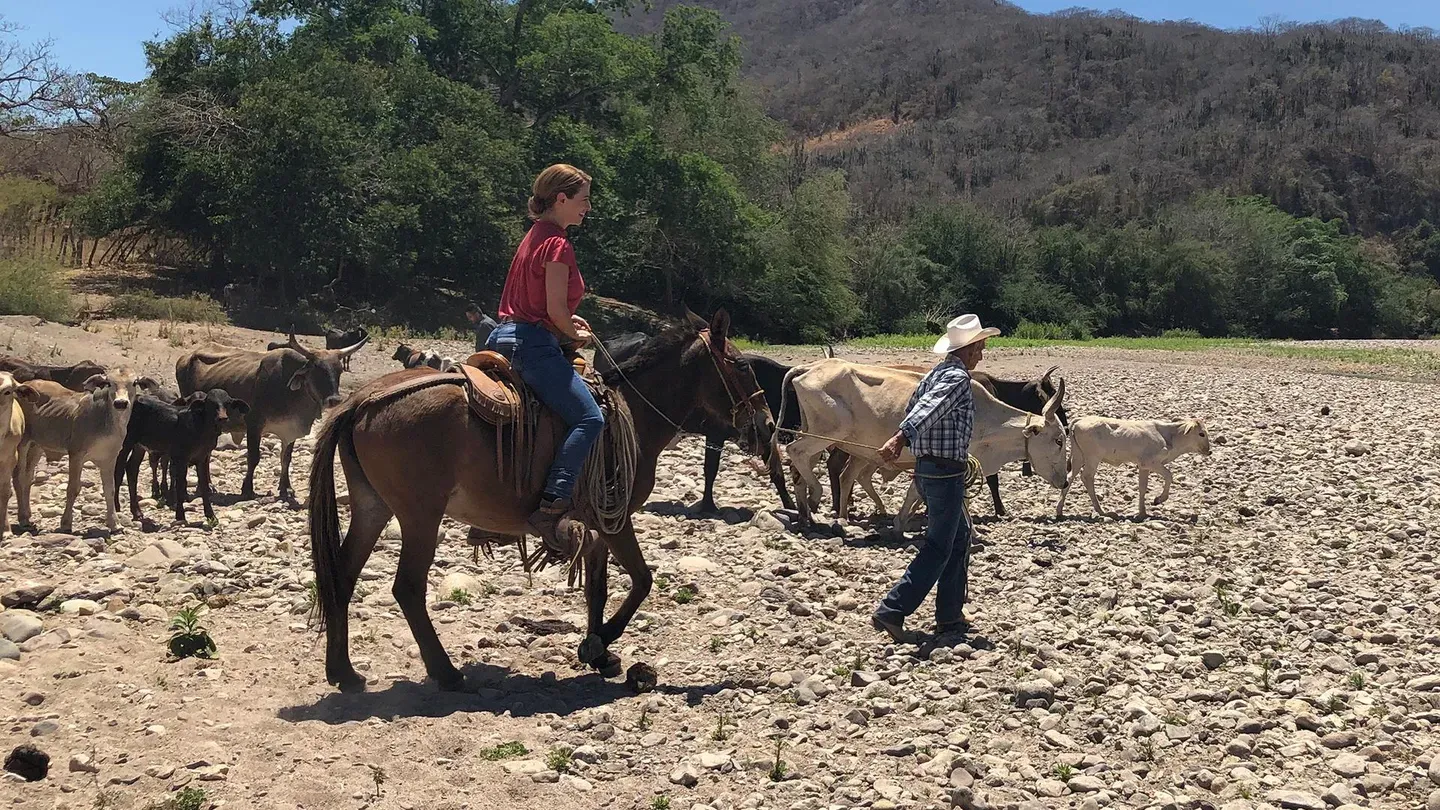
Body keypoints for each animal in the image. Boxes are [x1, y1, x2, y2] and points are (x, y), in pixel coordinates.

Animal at [15, 368, 140, 533]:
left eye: (134, 383)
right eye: (109, 383)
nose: (121, 403)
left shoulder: (109, 459)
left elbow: (110, 490)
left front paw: (115, 524)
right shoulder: (76, 455)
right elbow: (73, 488)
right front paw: (66, 523)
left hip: (37, 445)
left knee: (28, 477)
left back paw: (28, 515)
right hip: (22, 442)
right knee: (19, 477)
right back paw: (23, 519)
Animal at [115, 389, 250, 524]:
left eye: (227, 403)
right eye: (211, 404)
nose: (222, 418)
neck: (200, 428)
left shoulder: (202, 457)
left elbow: (204, 485)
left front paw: (211, 516)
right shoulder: (181, 458)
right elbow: (180, 484)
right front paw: (180, 515)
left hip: (139, 446)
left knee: (132, 469)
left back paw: (137, 512)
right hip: (125, 443)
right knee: (119, 470)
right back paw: (116, 507)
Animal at [308, 308, 771, 686]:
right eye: (742, 366)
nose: (767, 425)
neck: (634, 416)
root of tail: (362, 401)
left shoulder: (597, 523)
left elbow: (598, 588)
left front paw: (599, 652)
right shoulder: (615, 518)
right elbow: (642, 580)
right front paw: (600, 642)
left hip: (373, 507)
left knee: (342, 575)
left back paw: (344, 672)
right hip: (420, 516)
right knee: (407, 587)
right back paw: (446, 673)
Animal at [1059, 415, 1215, 515]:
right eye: (1201, 434)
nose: (1209, 451)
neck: (1168, 437)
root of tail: (1079, 421)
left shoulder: (1143, 466)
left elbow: (1142, 488)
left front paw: (1142, 512)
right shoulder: (1151, 463)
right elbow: (1169, 476)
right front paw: (1159, 499)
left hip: (1078, 457)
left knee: (1070, 477)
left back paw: (1059, 510)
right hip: (1093, 458)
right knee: (1087, 477)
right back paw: (1101, 510)